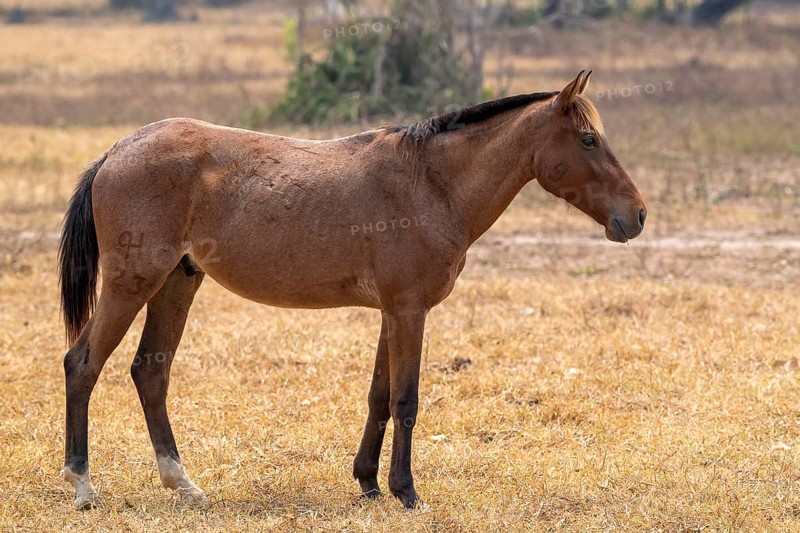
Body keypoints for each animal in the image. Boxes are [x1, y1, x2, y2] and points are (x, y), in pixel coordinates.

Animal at [58, 71, 646, 510]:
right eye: (589, 139)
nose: (637, 215)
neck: (431, 182)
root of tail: (116, 151)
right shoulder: (409, 311)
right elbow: (407, 399)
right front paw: (407, 492)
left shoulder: (392, 312)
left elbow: (379, 397)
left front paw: (368, 481)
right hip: (131, 285)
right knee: (82, 364)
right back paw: (84, 486)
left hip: (176, 285)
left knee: (150, 374)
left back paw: (182, 483)